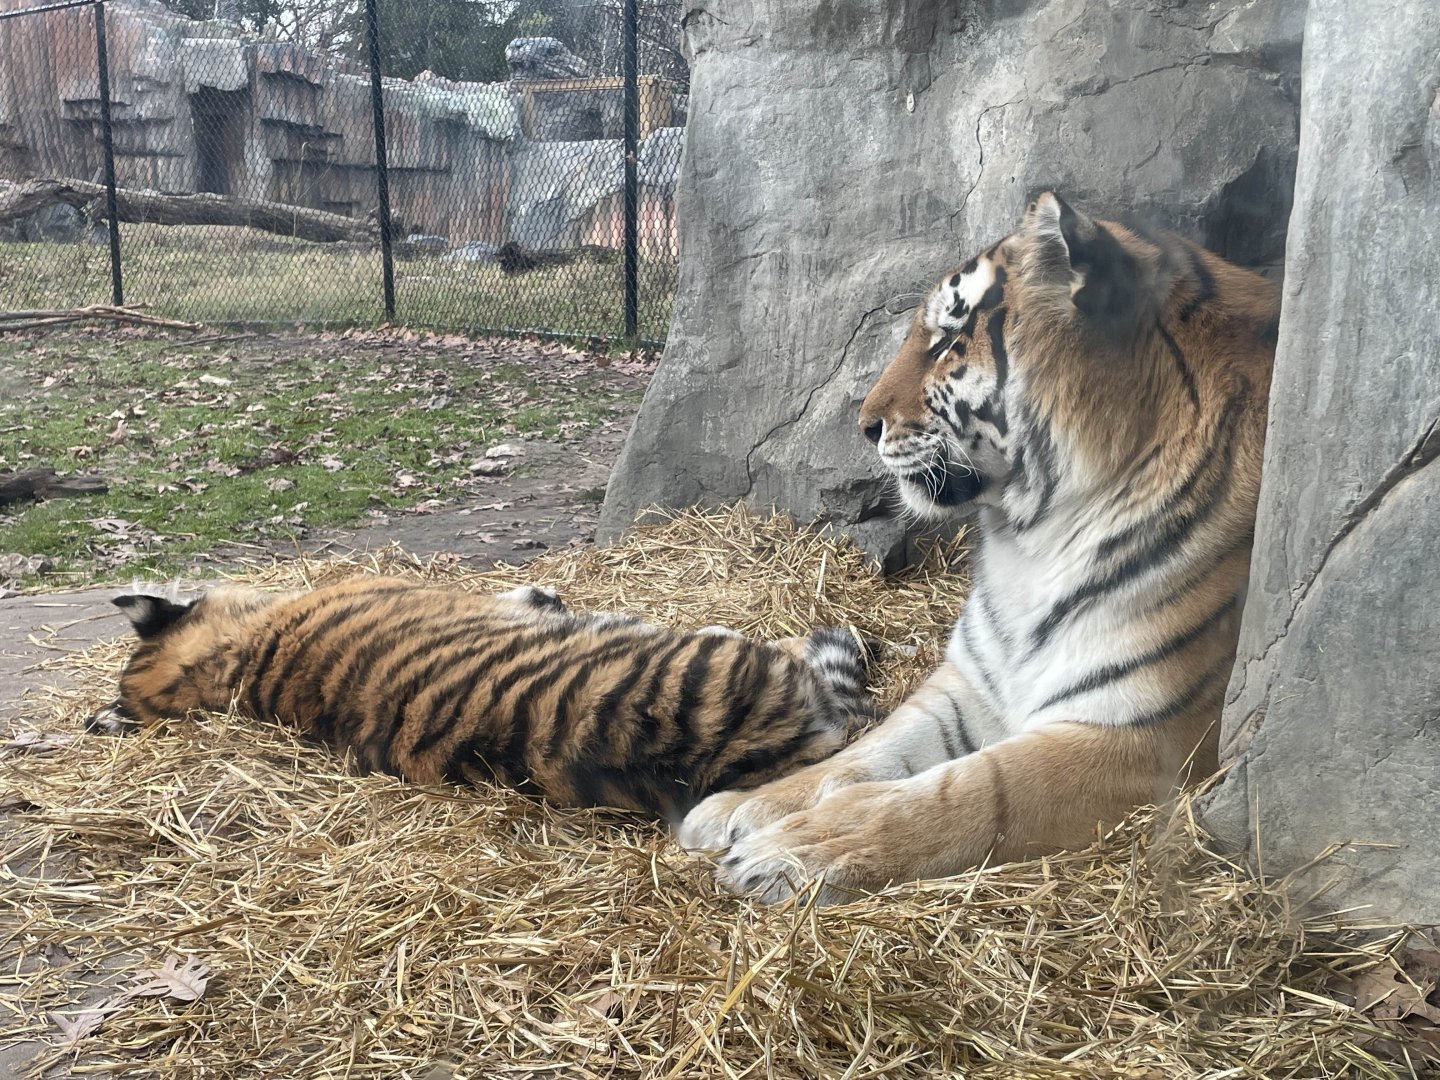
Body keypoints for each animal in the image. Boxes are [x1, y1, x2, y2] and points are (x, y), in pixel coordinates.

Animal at [679, 192, 1279, 903]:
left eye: (948, 341)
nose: (865, 425)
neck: (1034, 538)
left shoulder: (1144, 735)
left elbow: (972, 789)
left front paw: (797, 847)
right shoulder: (971, 681)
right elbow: (873, 747)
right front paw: (742, 806)